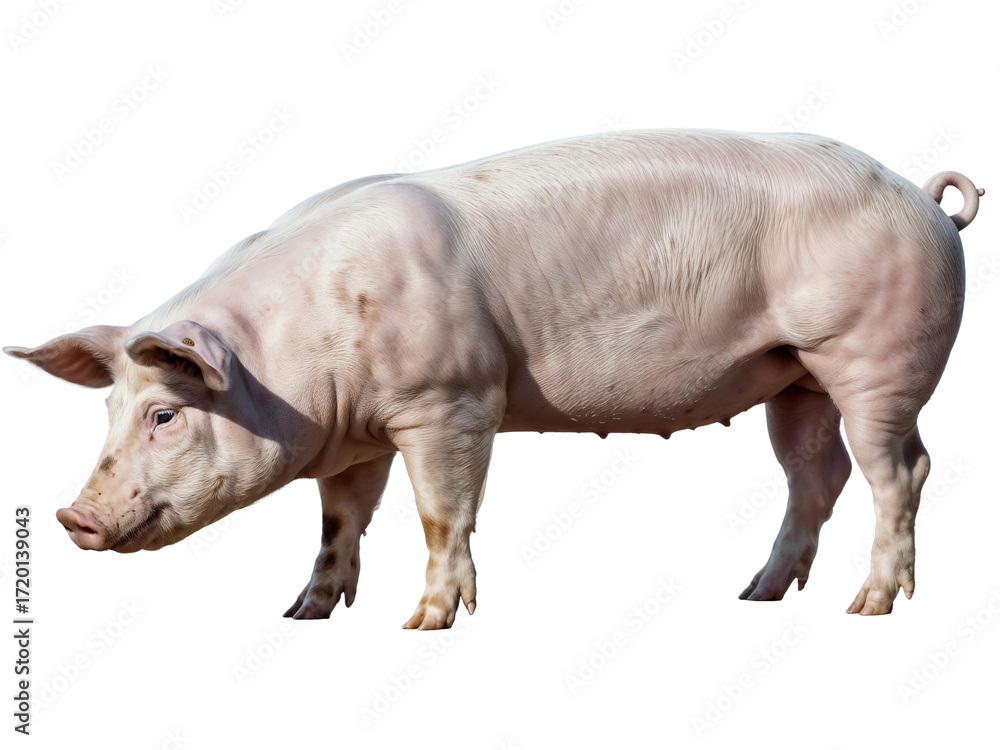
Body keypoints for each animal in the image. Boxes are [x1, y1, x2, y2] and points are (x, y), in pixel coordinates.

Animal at [5, 130, 983, 629]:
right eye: (108, 409)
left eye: (166, 414)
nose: (71, 517)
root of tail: (924, 197)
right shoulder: (355, 434)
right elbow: (338, 519)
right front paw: (304, 615)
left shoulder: (450, 401)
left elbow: (443, 513)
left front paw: (426, 623)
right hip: (796, 377)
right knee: (817, 475)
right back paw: (756, 595)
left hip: (877, 359)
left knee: (902, 471)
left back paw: (868, 608)